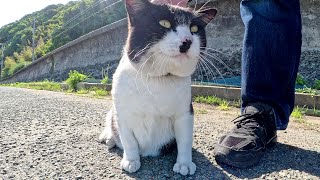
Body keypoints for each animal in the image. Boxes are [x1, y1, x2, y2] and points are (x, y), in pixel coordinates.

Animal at [99, 0, 216, 176]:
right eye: (164, 23)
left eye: (194, 29)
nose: (187, 40)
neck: (158, 79)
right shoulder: (122, 113)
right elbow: (129, 140)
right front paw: (131, 160)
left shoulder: (185, 113)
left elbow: (185, 140)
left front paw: (184, 163)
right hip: (112, 111)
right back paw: (108, 137)